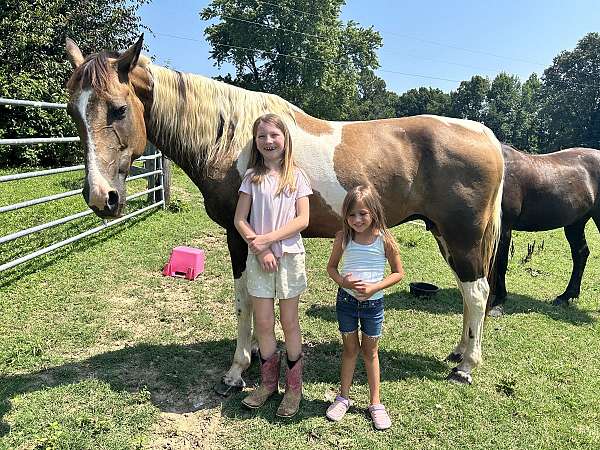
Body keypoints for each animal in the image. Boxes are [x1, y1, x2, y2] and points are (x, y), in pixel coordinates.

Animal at [65, 35, 504, 386]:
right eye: (74, 112)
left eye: (119, 109)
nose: (101, 197)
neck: (231, 138)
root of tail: (486, 134)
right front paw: (262, 353)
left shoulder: (238, 236)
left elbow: (244, 297)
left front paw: (238, 368)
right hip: (446, 235)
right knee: (469, 293)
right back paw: (458, 352)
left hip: (462, 237)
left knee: (477, 291)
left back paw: (466, 365)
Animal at [488, 144, 600, 316]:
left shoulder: (504, 227)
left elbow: (500, 261)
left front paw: (498, 301)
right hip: (575, 223)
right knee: (581, 254)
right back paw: (565, 296)